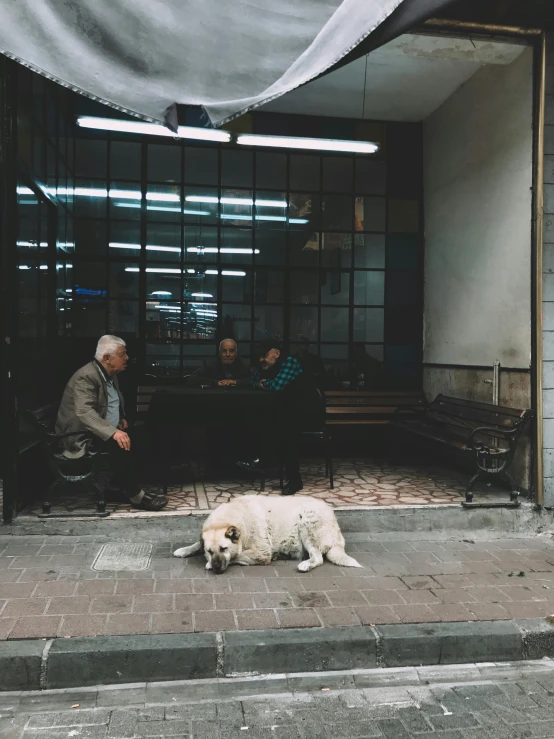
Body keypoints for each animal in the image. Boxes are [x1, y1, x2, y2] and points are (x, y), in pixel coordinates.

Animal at [174, 494, 362, 576]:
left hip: (305, 522)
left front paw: (208, 564)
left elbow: (238, 556)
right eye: (210, 551)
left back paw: (305, 565)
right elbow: (197, 544)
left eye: (224, 548)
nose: (217, 568)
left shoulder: (261, 552)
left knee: (318, 558)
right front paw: (184, 550)